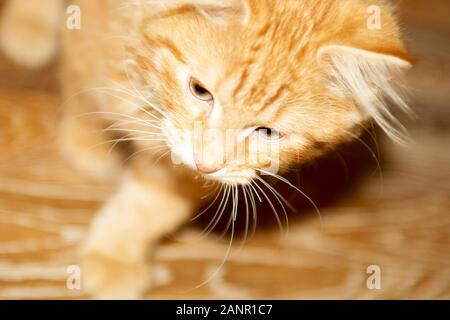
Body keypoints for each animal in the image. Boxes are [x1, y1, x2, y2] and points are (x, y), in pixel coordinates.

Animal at [0, 0, 412, 300]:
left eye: (267, 132)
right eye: (200, 90)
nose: (206, 162)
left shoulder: (192, 168)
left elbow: (151, 205)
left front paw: (114, 253)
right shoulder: (91, 38)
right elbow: (82, 87)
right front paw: (87, 143)